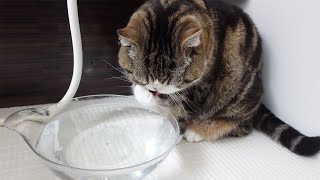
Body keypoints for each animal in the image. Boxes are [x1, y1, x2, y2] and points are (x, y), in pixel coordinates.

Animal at [116, 0, 318, 155]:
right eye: (146, 79)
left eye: (175, 81)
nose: (156, 89)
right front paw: (144, 92)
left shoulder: (197, 91)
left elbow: (180, 109)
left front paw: (175, 132)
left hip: (239, 100)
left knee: (240, 125)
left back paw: (198, 131)